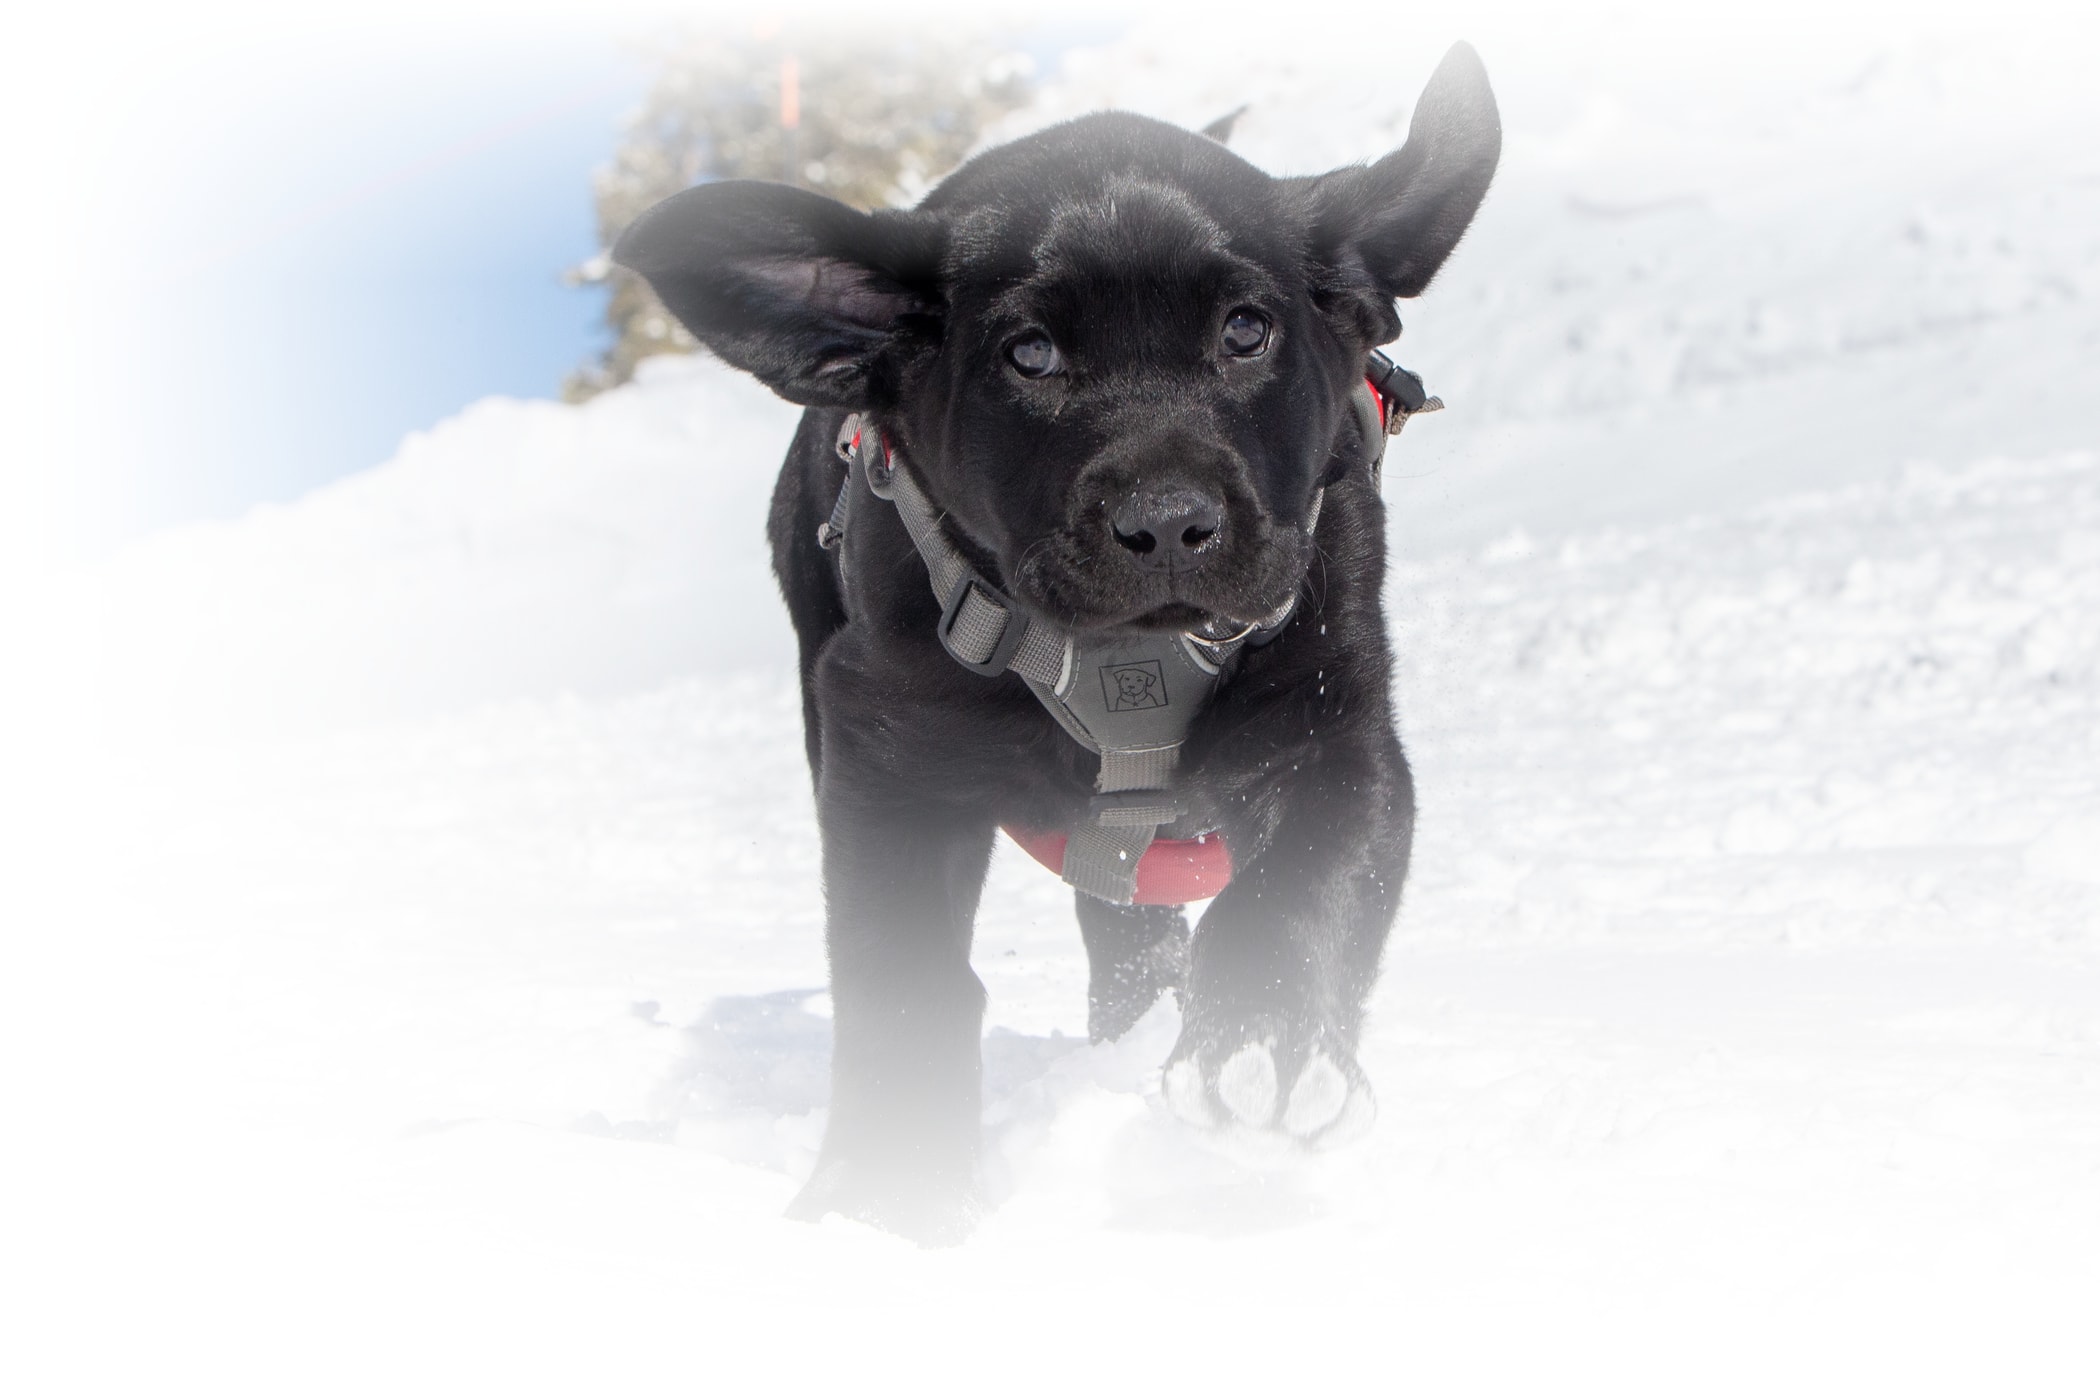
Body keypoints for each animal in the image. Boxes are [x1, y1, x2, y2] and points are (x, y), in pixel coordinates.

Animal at [613, 46, 1503, 1250]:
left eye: (1246, 331)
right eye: (1029, 354)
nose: (1169, 521)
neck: (1123, 654)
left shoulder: (1334, 720)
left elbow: (1308, 878)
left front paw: (1261, 1050)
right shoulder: (884, 754)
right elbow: (902, 974)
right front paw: (884, 1196)